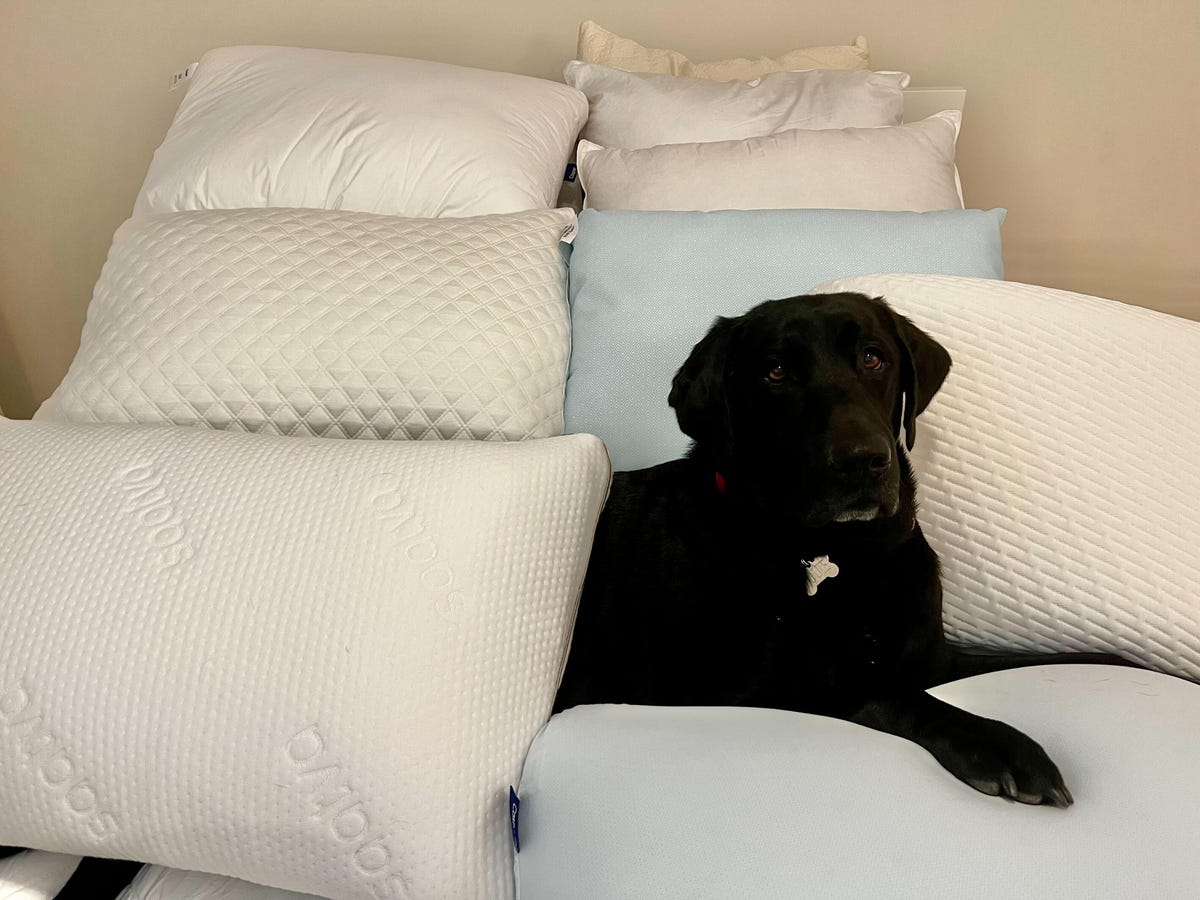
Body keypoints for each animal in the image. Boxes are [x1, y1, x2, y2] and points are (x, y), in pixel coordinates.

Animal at [556, 292, 1128, 806]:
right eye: (776, 373)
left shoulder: (934, 657)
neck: (845, 554)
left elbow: (1070, 657)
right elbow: (879, 689)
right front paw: (999, 746)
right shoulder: (732, 688)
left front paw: (1121, 661)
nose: (862, 461)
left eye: (874, 357)